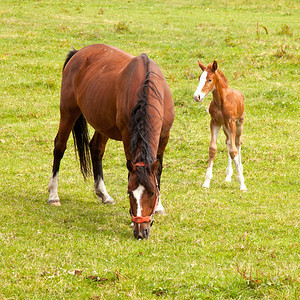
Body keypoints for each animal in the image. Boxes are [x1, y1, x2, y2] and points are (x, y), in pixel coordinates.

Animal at [47, 44, 175, 239]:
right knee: (59, 147)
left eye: (152, 193)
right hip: (68, 111)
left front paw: (159, 207)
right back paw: (53, 195)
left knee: (96, 149)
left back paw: (103, 194)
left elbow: (158, 170)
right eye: (130, 193)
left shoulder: (164, 136)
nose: (141, 232)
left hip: (103, 124)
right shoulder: (128, 136)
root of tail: (78, 53)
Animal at [193, 60, 247, 191]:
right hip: (225, 127)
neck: (222, 101)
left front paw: (242, 184)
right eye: (199, 78)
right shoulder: (215, 122)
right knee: (228, 142)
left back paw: (240, 168)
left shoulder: (231, 123)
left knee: (237, 143)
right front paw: (206, 182)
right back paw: (228, 176)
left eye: (210, 80)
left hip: (239, 124)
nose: (197, 96)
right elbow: (213, 148)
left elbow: (233, 151)